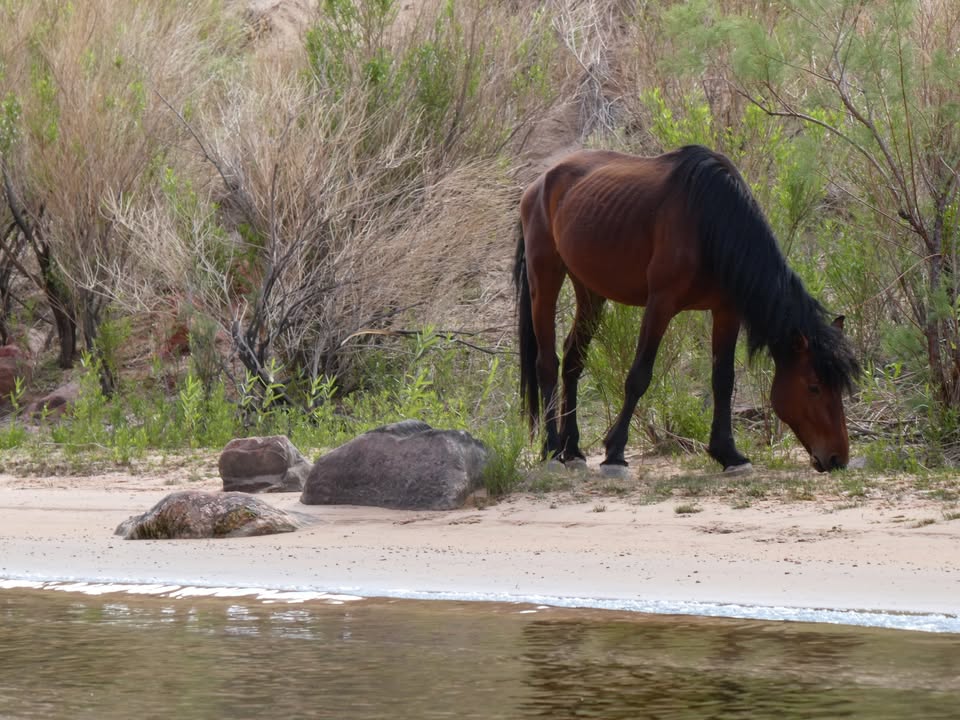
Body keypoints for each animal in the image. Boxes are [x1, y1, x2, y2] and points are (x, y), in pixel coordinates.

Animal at [514, 145, 860, 473]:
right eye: (814, 387)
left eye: (839, 388)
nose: (837, 458)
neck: (710, 221)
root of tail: (537, 184)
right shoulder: (661, 304)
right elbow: (639, 376)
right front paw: (615, 453)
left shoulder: (727, 311)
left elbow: (723, 380)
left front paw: (728, 454)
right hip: (545, 279)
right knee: (547, 362)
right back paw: (552, 449)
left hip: (590, 291)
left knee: (573, 359)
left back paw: (572, 449)